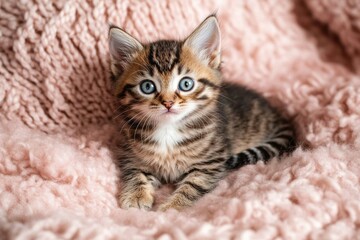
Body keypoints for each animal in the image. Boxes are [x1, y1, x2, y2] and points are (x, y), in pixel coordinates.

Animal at [109, 15, 296, 211]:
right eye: (147, 86)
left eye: (186, 84)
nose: (168, 103)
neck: (168, 130)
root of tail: (276, 114)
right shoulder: (131, 154)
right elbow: (134, 172)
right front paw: (136, 196)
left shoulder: (211, 161)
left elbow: (193, 185)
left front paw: (173, 206)